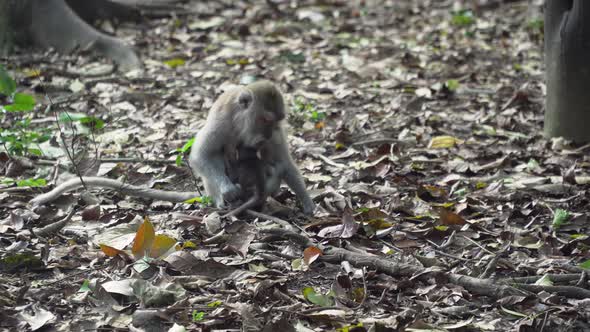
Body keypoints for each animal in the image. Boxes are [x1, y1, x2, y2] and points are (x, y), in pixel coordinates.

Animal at [192, 80, 316, 215]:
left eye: (277, 121)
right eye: (266, 120)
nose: (269, 134)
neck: (239, 122)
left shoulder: (276, 134)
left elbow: (284, 162)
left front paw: (306, 201)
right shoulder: (221, 122)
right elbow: (202, 155)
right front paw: (227, 189)